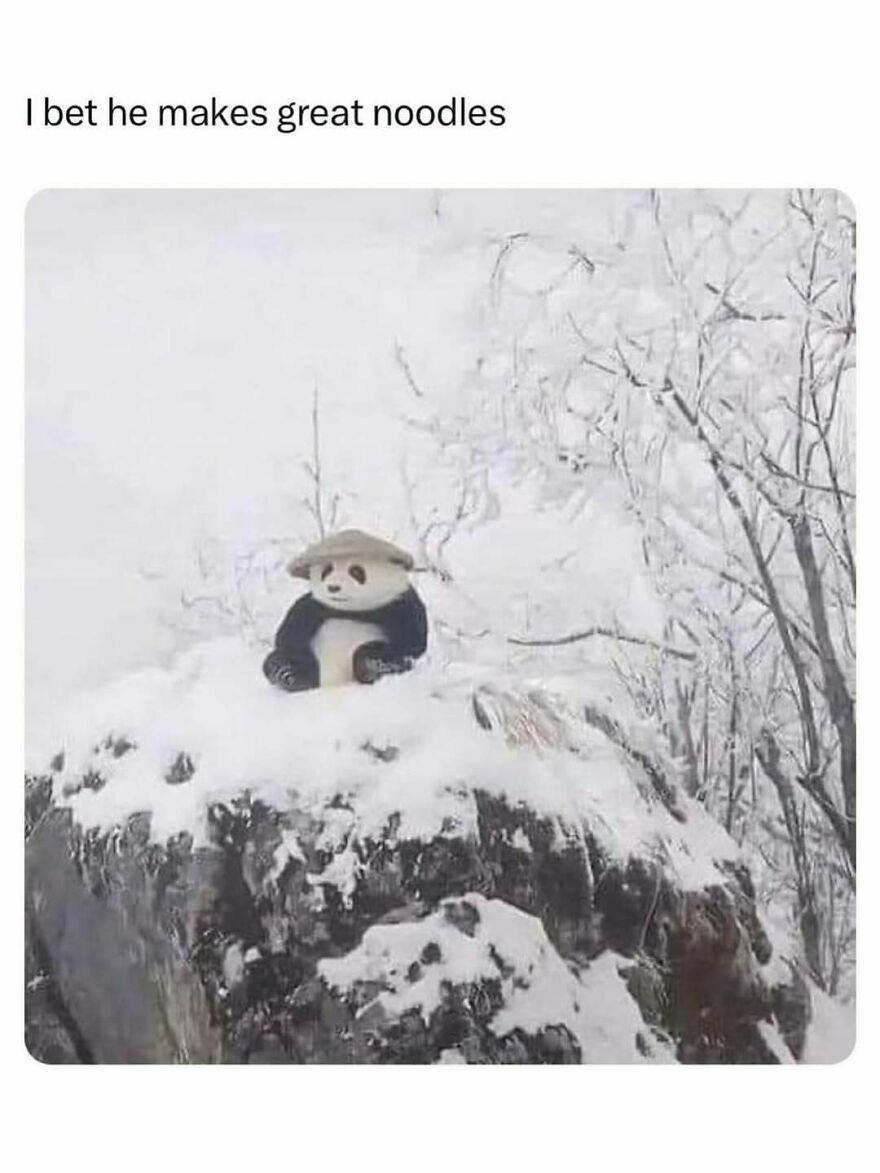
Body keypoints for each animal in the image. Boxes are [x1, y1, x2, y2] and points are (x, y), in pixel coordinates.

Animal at [262, 528, 428, 691]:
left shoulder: (399, 606)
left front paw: (373, 664)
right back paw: (288, 674)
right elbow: (289, 635)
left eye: (356, 571)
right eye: (327, 570)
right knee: (275, 660)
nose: (333, 587)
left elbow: (411, 644)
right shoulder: (314, 607)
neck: (352, 610)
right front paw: (287, 672)